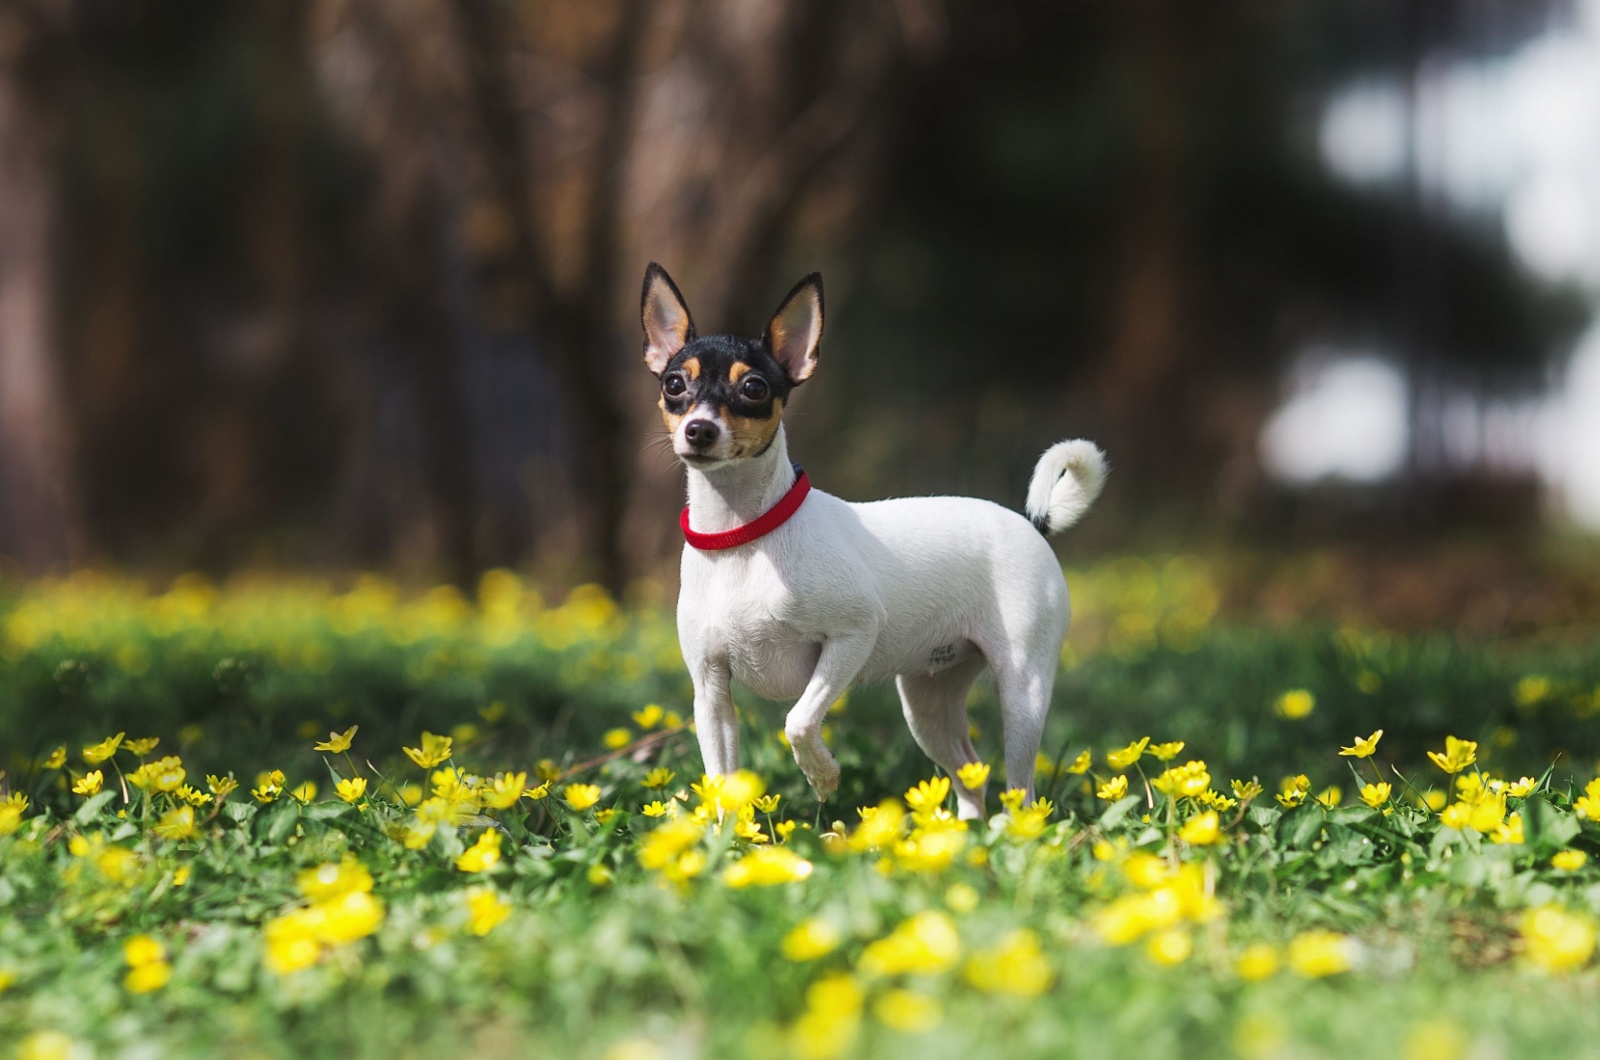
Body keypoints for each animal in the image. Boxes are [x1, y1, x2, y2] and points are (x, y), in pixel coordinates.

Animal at [636, 265, 1100, 819]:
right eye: (674, 384)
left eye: (753, 387)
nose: (699, 429)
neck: (744, 535)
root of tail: (1031, 523)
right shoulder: (710, 693)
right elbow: (723, 784)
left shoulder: (852, 637)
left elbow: (798, 721)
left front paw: (822, 775)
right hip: (928, 703)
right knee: (971, 774)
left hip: (1022, 692)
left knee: (1020, 790)